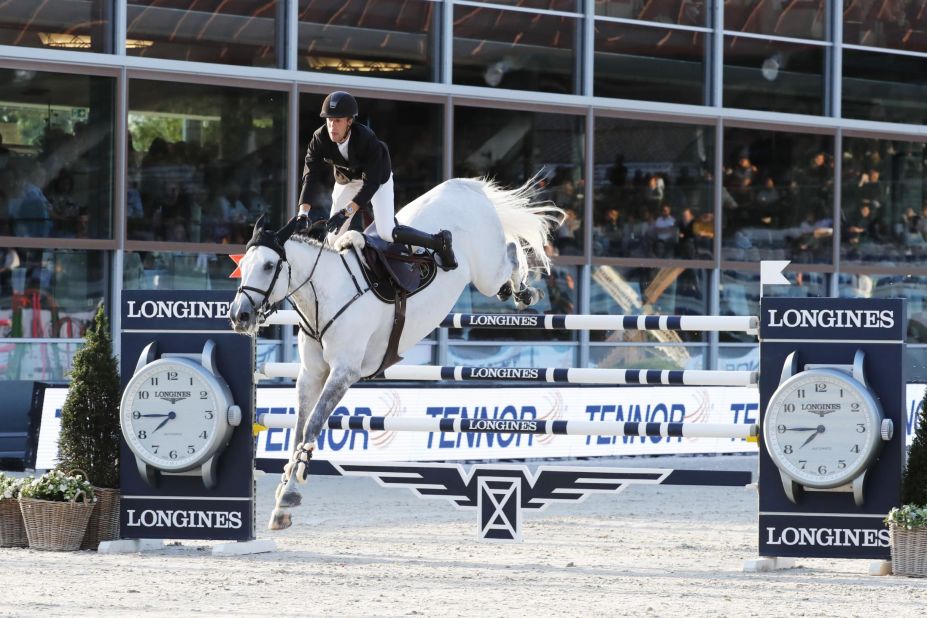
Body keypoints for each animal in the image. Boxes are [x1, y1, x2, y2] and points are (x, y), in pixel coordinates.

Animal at [230, 176, 564, 528]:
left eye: (269, 266)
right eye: (244, 265)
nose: (239, 316)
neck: (327, 293)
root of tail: (464, 187)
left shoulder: (343, 372)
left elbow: (313, 424)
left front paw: (290, 494)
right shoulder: (311, 374)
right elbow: (298, 428)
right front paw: (283, 498)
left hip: (485, 271)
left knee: (511, 253)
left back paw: (522, 290)